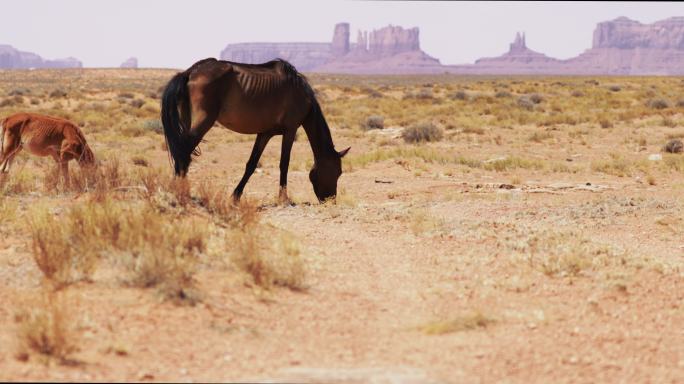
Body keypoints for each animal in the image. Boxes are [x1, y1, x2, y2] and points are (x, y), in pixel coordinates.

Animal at [162, 57, 348, 201]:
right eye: (337, 172)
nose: (330, 200)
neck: (301, 94)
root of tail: (190, 72)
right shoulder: (290, 130)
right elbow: (284, 163)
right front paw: (283, 198)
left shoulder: (265, 134)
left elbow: (251, 164)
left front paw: (236, 196)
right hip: (203, 122)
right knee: (183, 153)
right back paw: (180, 191)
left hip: (187, 120)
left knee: (182, 153)